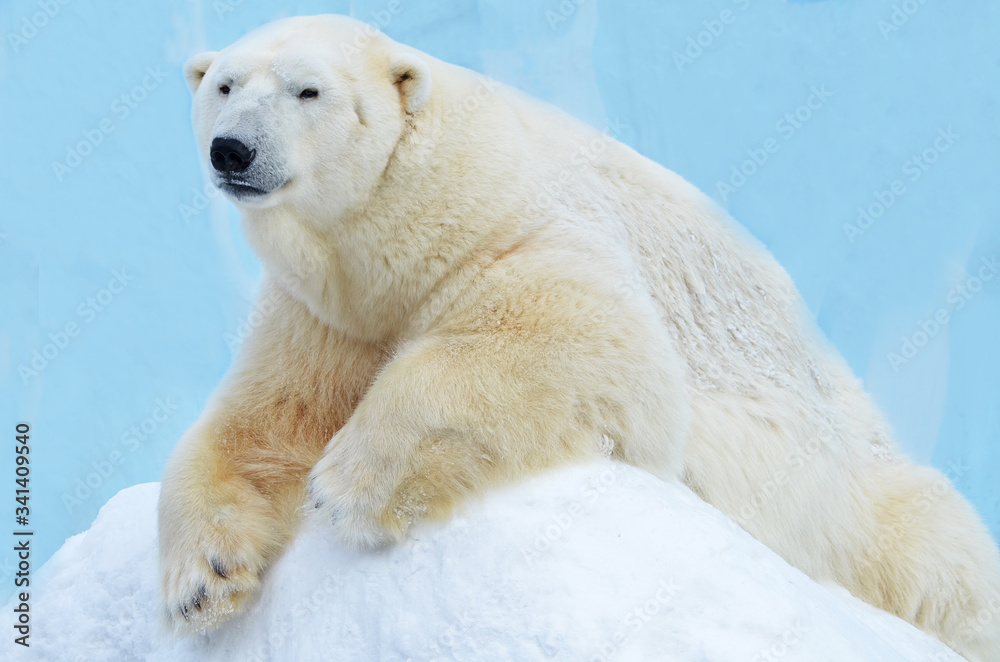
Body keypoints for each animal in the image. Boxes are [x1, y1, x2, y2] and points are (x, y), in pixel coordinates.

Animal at [160, 14, 1000, 660]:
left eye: (309, 90)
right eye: (224, 86)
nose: (233, 150)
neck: (389, 236)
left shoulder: (508, 221)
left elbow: (587, 335)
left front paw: (350, 486)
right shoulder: (328, 314)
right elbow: (268, 418)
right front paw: (198, 582)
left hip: (856, 485)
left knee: (937, 559)